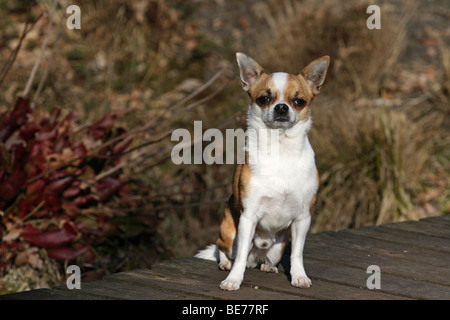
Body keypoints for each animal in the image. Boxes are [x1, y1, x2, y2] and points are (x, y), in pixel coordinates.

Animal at [195, 52, 328, 290]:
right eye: (264, 99)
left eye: (299, 101)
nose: (282, 107)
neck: (281, 149)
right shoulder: (248, 217)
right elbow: (239, 257)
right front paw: (233, 280)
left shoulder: (303, 219)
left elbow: (297, 253)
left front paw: (299, 276)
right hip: (230, 235)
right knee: (225, 251)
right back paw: (226, 265)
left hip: (276, 248)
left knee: (265, 259)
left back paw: (268, 266)